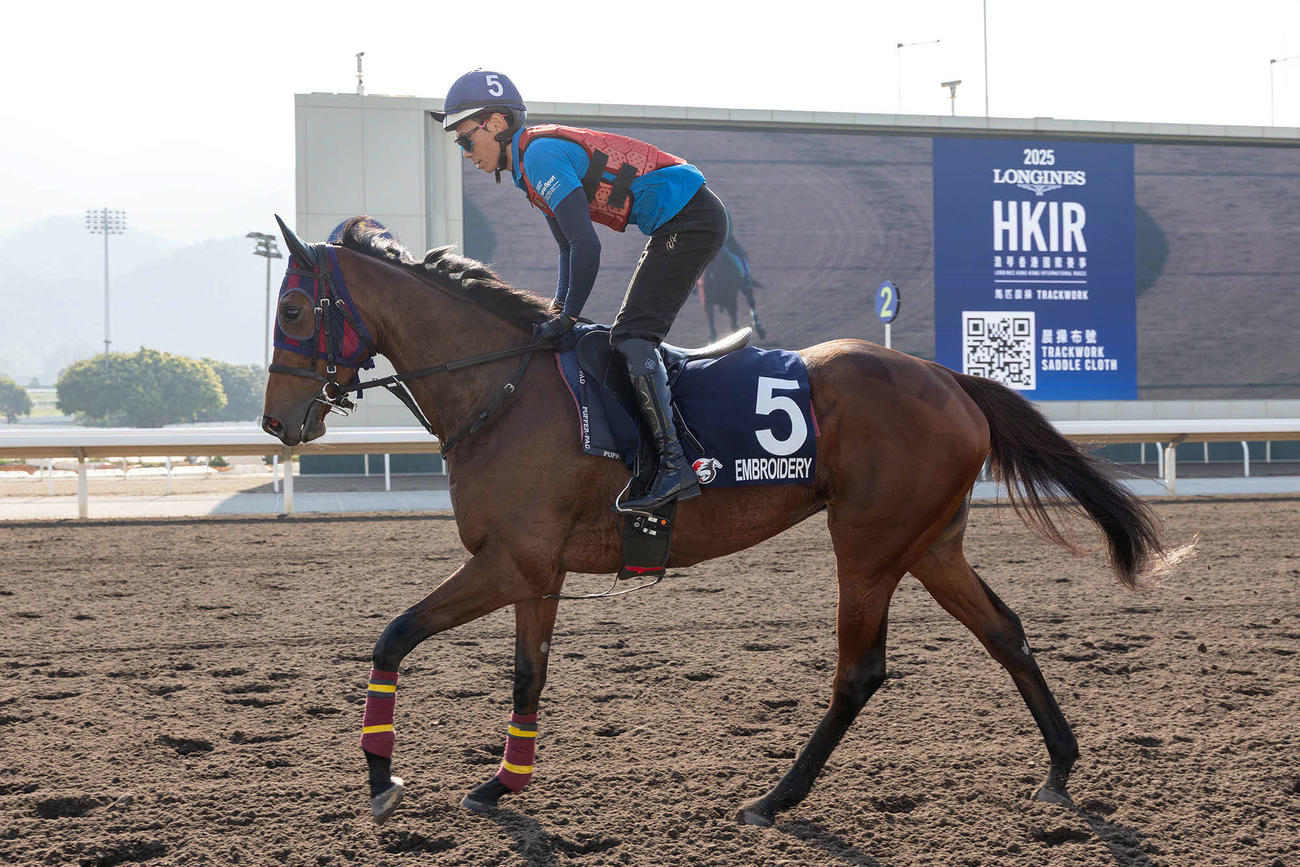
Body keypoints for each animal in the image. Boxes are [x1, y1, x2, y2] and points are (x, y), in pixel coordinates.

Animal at [261, 216, 1186, 828]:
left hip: (869, 543)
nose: (277, 421)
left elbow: (393, 634)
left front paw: (381, 779)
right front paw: (499, 783)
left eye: (296, 313)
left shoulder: (507, 562)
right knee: (1005, 630)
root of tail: (947, 375)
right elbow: (527, 675)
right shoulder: (534, 571)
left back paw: (776, 795)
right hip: (929, 543)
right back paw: (1059, 766)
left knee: (860, 671)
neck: (505, 388)